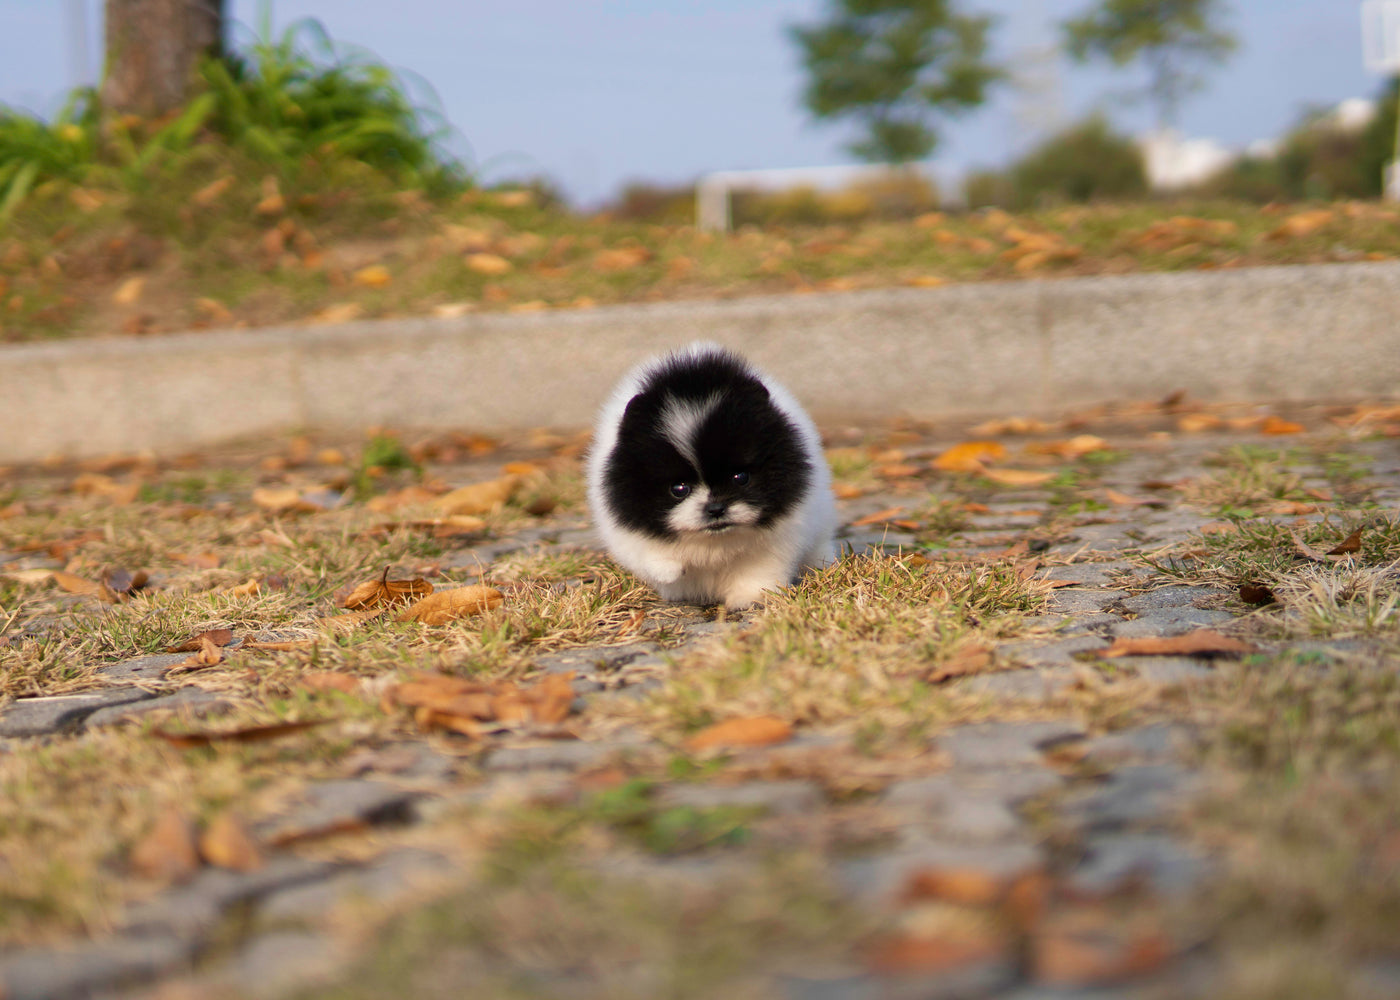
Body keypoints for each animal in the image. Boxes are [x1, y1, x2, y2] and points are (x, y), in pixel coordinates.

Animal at [588, 340, 834, 607]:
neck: (715, 542)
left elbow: (758, 569)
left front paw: (751, 597)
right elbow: (649, 550)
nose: (715, 508)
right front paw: (668, 568)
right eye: (679, 489)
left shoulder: (778, 537)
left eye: (740, 478)